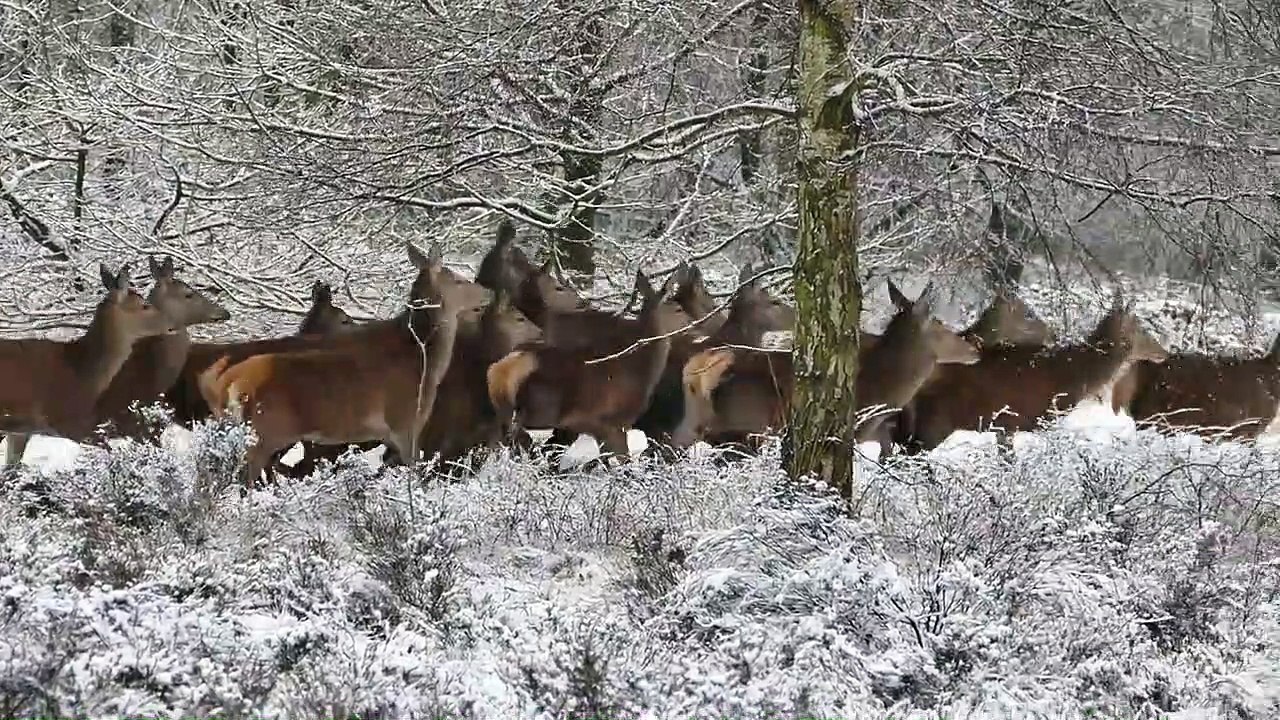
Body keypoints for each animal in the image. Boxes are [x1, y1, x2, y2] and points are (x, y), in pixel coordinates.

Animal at [197, 242, 469, 490]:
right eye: (458, 280)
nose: (480, 290)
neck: (423, 361)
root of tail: (223, 382)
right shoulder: (405, 421)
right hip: (266, 429)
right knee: (250, 470)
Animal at [486, 270, 690, 464]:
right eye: (678, 308)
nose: (692, 323)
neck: (643, 367)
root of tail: (501, 371)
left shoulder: (598, 427)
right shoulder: (615, 420)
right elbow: (623, 460)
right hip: (540, 407)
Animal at [671, 282, 981, 452]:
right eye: (940, 326)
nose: (974, 350)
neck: (882, 390)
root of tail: (696, 374)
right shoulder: (852, 431)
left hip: (693, 421)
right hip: (744, 424)